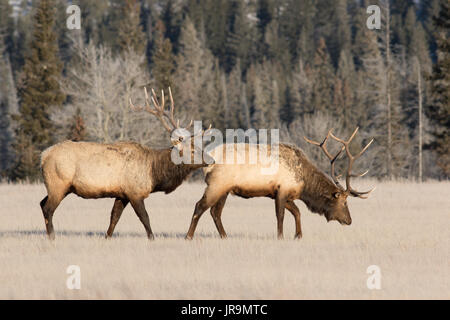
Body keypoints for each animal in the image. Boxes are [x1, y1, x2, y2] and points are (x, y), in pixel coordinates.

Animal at [40, 87, 213, 240]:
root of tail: (43, 155)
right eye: (192, 150)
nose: (211, 159)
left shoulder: (121, 194)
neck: (154, 173)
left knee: (42, 203)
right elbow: (145, 218)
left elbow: (114, 218)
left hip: (60, 187)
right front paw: (152, 238)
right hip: (58, 183)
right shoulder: (134, 192)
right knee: (48, 208)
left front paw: (107, 238)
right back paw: (52, 237)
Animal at [185, 127, 374, 240]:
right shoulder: (281, 191)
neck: (305, 184)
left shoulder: (286, 195)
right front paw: (281, 237)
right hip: (217, 185)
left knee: (215, 212)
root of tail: (207, 163)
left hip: (225, 189)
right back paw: (189, 236)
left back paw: (224, 236)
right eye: (344, 202)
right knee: (200, 206)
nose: (349, 220)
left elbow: (297, 212)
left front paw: (298, 235)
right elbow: (281, 215)